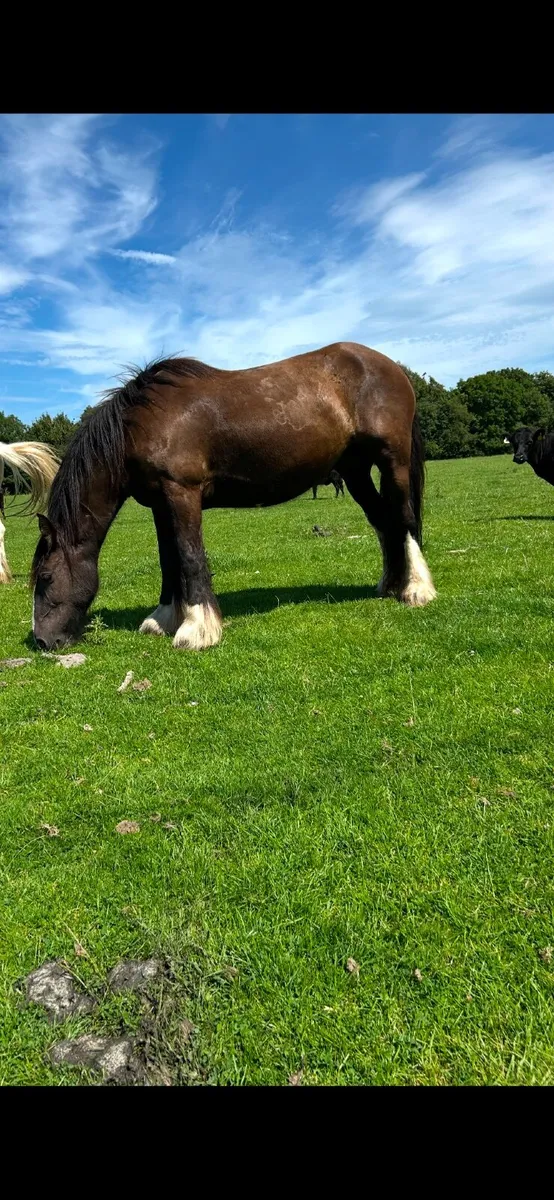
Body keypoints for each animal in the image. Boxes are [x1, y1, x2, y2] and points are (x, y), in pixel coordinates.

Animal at [30, 341, 437, 652]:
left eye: (46, 577)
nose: (44, 642)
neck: (140, 425)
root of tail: (390, 367)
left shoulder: (182, 493)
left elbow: (190, 557)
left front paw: (197, 629)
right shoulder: (161, 504)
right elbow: (169, 560)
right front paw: (163, 618)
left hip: (393, 461)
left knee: (404, 520)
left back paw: (416, 590)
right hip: (355, 471)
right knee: (384, 522)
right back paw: (391, 585)